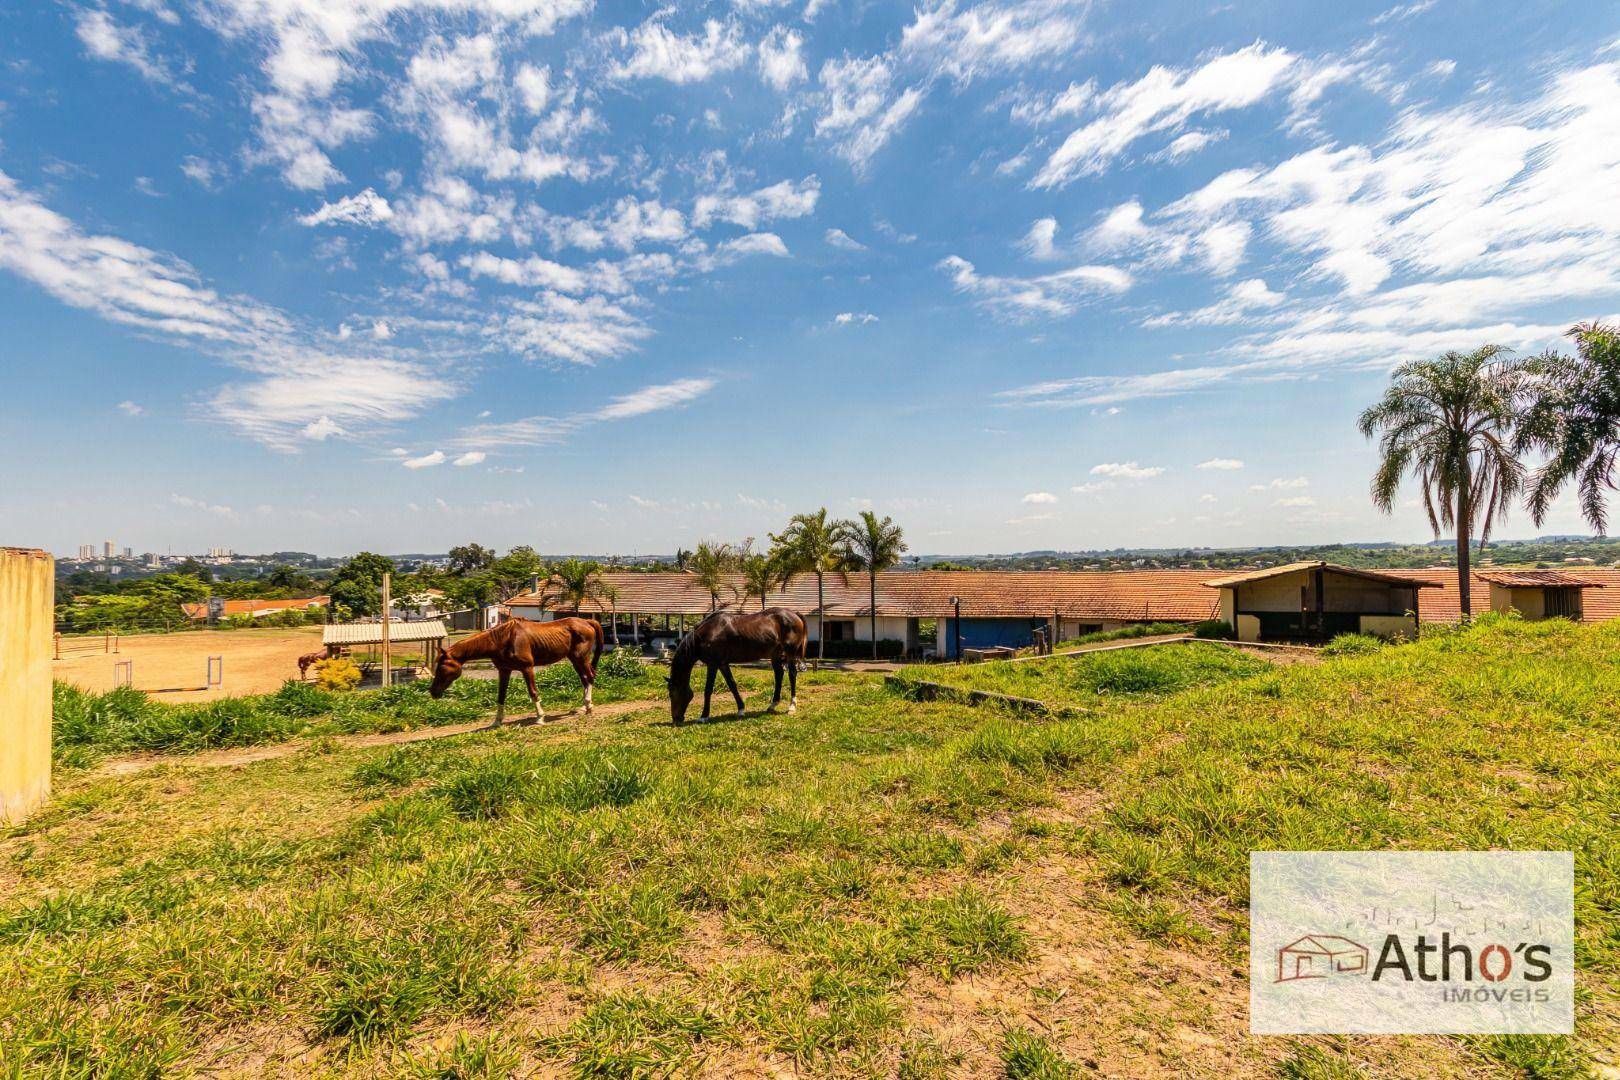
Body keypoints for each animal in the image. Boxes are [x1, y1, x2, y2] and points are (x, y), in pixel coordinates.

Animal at [427, 615, 605, 725]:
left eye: (442, 668)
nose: (433, 692)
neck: (502, 640)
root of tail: (587, 621)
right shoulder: (504, 670)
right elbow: (501, 696)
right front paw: (497, 721)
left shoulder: (527, 668)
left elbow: (533, 692)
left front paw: (540, 718)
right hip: (574, 659)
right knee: (584, 678)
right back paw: (585, 706)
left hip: (581, 657)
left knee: (589, 676)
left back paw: (588, 705)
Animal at [664, 608, 803, 725]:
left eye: (672, 693)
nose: (676, 719)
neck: (707, 634)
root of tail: (795, 614)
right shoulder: (722, 664)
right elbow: (732, 685)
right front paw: (741, 710)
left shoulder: (713, 664)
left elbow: (708, 689)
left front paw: (704, 716)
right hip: (775, 655)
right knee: (779, 675)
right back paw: (772, 705)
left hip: (790, 653)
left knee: (792, 674)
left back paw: (792, 707)